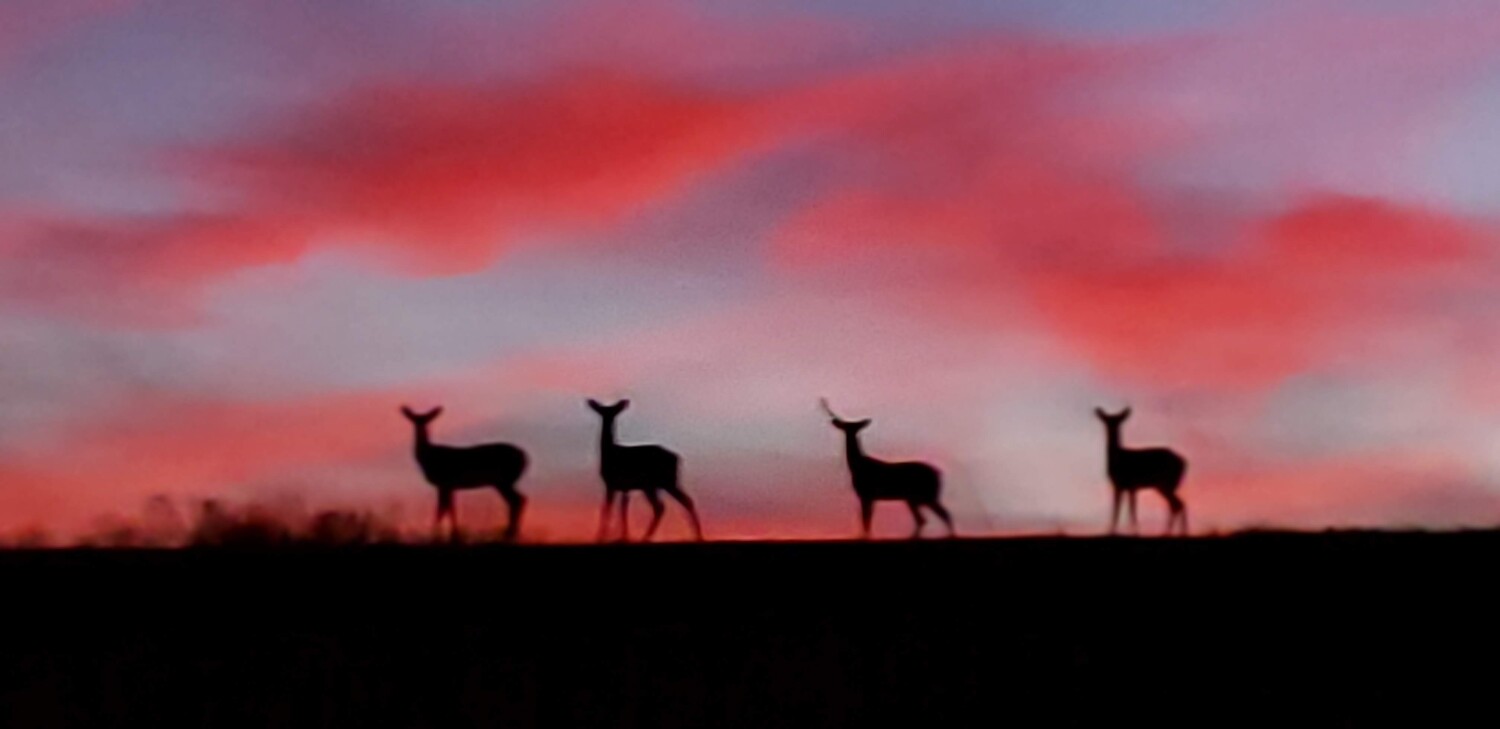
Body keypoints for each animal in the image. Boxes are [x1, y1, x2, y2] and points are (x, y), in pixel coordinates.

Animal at [401, 406, 529, 543]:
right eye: (414, 419)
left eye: (428, 419)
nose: (421, 429)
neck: (428, 457)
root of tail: (525, 457)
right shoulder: (448, 486)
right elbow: (449, 508)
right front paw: (451, 535)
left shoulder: (444, 482)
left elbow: (443, 509)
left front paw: (439, 535)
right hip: (502, 481)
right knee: (517, 500)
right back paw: (510, 533)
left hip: (504, 479)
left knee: (518, 500)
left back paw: (509, 533)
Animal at [587, 399, 704, 543]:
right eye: (602, 411)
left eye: (614, 411)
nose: (608, 418)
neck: (609, 453)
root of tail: (678, 458)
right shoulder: (624, 487)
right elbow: (623, 508)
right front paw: (623, 536)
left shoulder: (611, 483)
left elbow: (607, 508)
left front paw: (601, 537)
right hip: (661, 484)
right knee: (679, 502)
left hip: (661, 483)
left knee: (665, 505)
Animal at [820, 399, 954, 539]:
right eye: (846, 426)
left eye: (854, 426)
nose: (846, 428)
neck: (856, 466)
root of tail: (939, 474)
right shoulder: (871, 497)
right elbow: (866, 519)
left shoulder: (866, 494)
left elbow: (865, 519)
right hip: (919, 497)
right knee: (930, 518)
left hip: (924, 495)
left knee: (934, 517)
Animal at [1095, 407, 1188, 536]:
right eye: (1107, 421)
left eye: (1118, 421)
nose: (1112, 429)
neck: (1117, 458)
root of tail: (1184, 462)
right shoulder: (1129, 486)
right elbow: (1129, 509)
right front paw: (1133, 531)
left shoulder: (1122, 484)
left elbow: (1120, 508)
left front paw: (1113, 531)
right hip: (1168, 485)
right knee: (1179, 504)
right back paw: (1179, 532)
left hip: (1166, 483)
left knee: (1177, 505)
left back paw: (1168, 532)